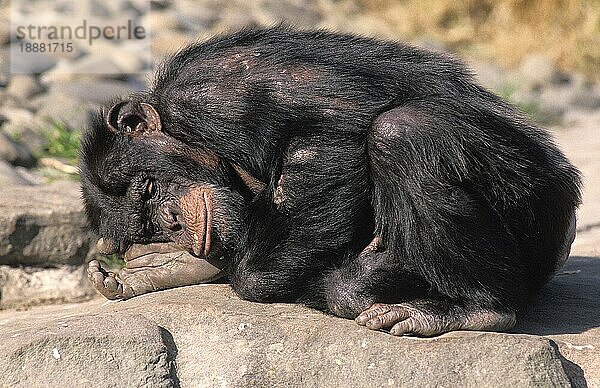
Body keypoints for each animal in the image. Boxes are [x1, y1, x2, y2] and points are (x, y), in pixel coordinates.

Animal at [81, 26, 580, 336]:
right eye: (148, 226)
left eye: (148, 188)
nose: (171, 222)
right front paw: (164, 265)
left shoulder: (217, 93)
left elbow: (327, 138)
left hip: (531, 200)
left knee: (404, 133)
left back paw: (477, 309)